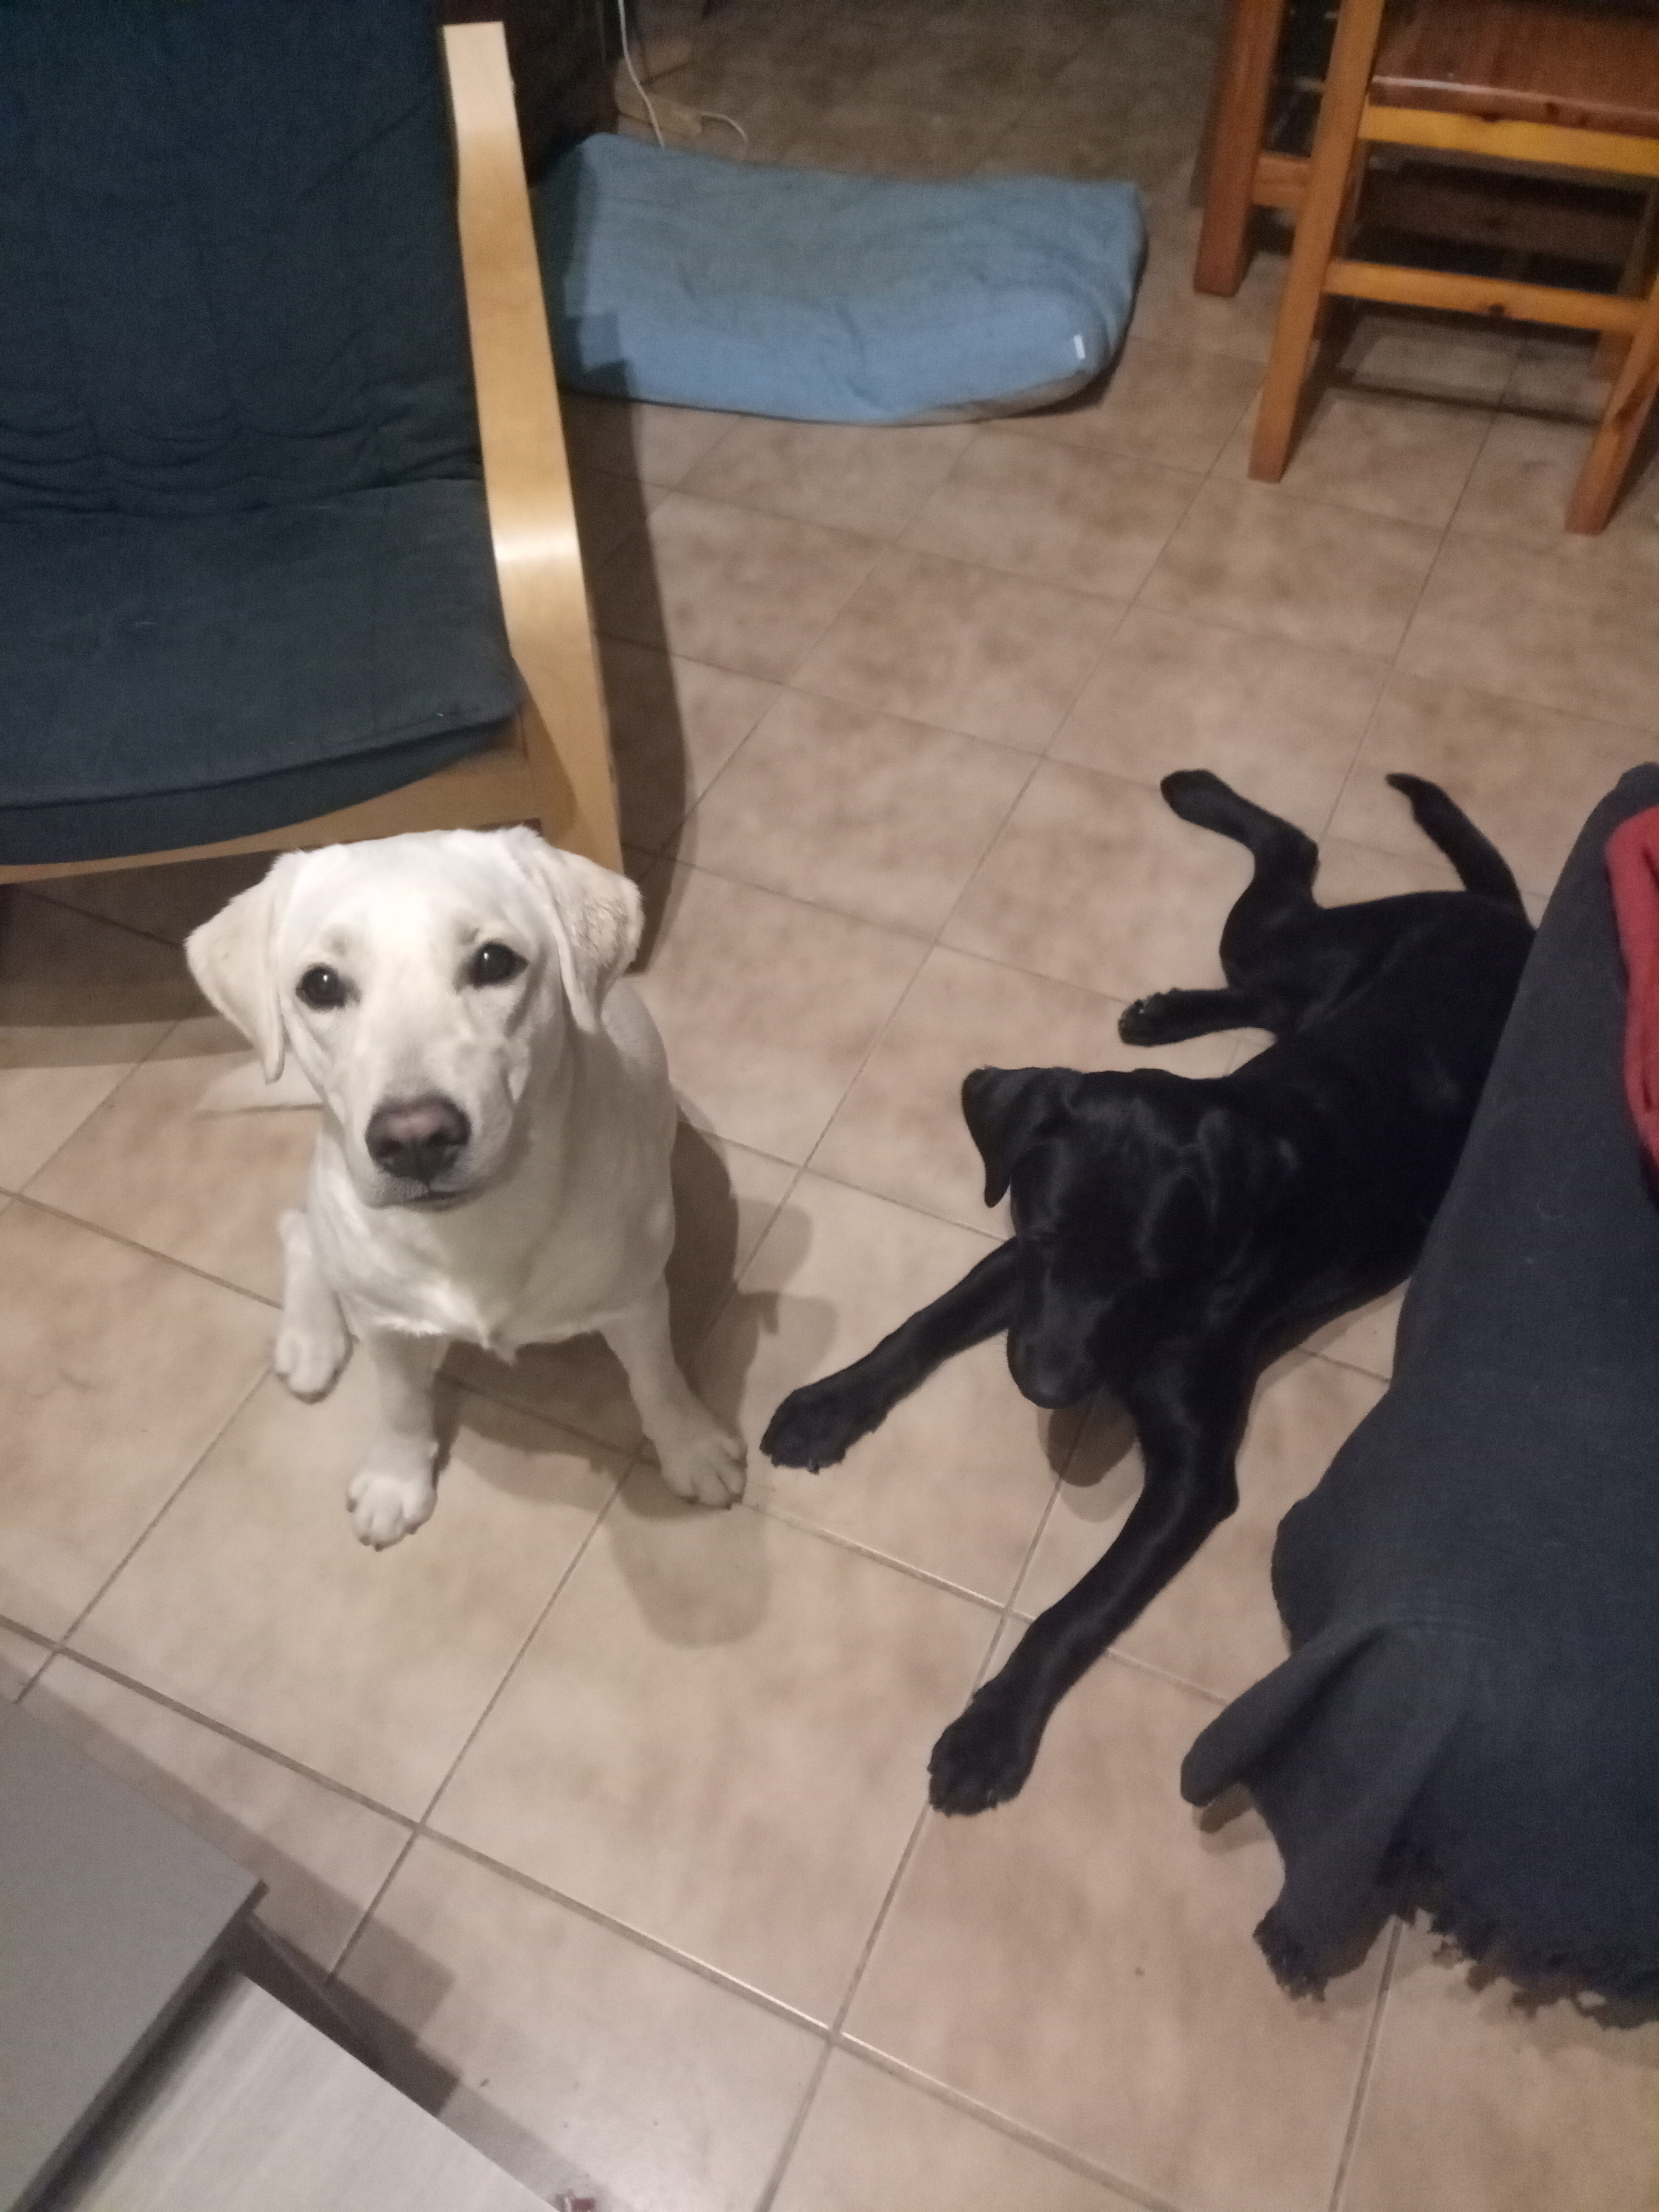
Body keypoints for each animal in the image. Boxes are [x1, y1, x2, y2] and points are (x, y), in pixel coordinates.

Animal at [186, 828, 745, 1547]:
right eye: (320, 984)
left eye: (494, 961)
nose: (414, 1139)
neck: (474, 1229)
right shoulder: (388, 1326)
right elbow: (400, 1403)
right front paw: (396, 1478)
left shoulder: (636, 1301)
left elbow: (658, 1380)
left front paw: (691, 1448)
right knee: (302, 1231)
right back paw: (310, 1341)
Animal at [762, 770, 1533, 1814]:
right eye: (1046, 1234)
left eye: (1146, 1271)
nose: (1046, 1387)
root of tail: (1508, 917)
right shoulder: (1017, 1266)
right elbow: (919, 1327)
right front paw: (827, 1406)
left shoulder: (1193, 1473)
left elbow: (1076, 1609)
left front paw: (990, 1732)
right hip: (1295, 959)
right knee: (1275, 927)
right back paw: (1170, 963)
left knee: (1293, 860)